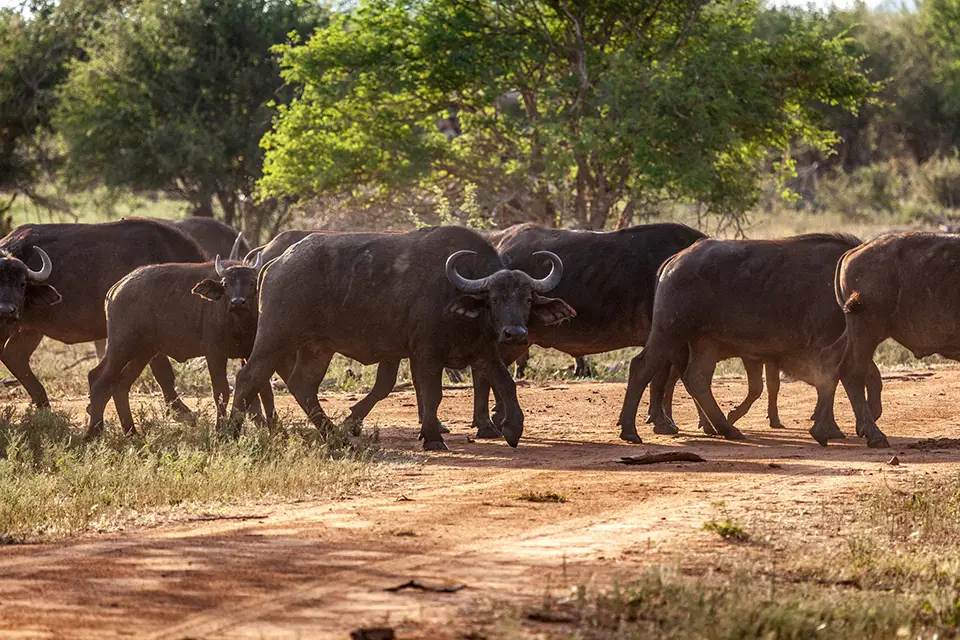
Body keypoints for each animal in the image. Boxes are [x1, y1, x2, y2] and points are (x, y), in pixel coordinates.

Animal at [231, 226, 575, 450]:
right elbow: (432, 394)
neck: (456, 298)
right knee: (248, 377)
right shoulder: (427, 353)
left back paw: (335, 436)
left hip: (317, 348)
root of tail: (276, 262)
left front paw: (513, 428)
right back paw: (228, 432)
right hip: (276, 337)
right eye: (494, 299)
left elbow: (506, 384)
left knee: (302, 385)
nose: (515, 333)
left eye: (527, 299)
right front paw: (433, 437)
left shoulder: (484, 353)